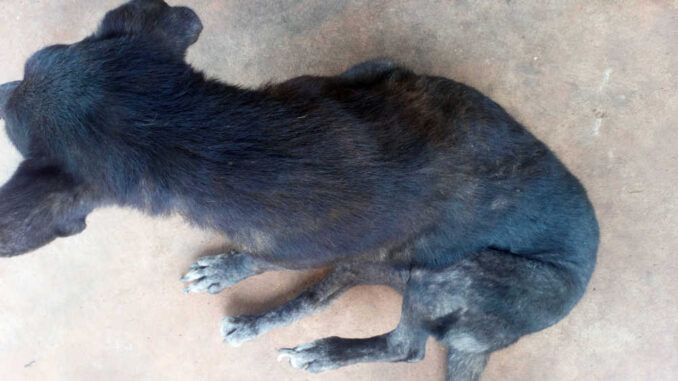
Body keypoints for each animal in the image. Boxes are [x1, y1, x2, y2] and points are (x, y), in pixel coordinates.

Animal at [0, 1, 600, 378]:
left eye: (12, 114)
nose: (3, 85)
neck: (206, 136)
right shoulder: (370, 71)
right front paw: (226, 270)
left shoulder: (290, 244)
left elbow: (261, 258)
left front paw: (233, 266)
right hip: (393, 266)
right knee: (329, 289)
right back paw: (262, 322)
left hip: (458, 276)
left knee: (405, 346)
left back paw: (326, 353)